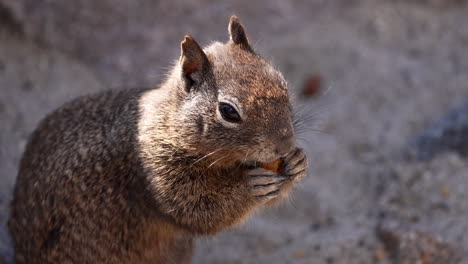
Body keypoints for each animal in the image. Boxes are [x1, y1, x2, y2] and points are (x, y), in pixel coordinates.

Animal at [8, 16, 308, 264]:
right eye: (228, 111)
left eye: (282, 83)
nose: (285, 145)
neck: (168, 124)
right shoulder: (157, 171)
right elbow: (200, 210)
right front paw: (248, 186)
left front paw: (297, 162)